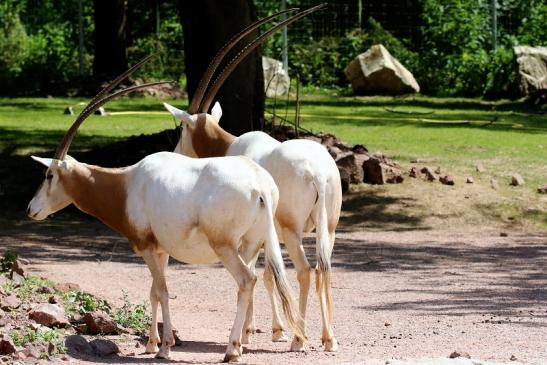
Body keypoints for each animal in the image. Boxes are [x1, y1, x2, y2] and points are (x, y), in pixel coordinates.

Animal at [26, 57, 304, 362]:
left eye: (49, 175)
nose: (31, 209)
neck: (125, 185)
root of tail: (261, 185)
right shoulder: (161, 251)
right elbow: (152, 292)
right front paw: (151, 343)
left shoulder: (147, 247)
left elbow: (162, 291)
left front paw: (165, 348)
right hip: (251, 244)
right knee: (251, 280)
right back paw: (242, 342)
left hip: (225, 246)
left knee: (246, 279)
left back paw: (232, 349)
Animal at [164, 4, 342, 352]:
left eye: (182, 128)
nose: (176, 151)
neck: (230, 145)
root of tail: (318, 172)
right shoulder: (262, 233)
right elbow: (269, 275)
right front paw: (274, 330)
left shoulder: (258, 232)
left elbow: (259, 273)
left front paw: (253, 332)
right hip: (329, 226)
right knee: (323, 269)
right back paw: (328, 338)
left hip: (292, 229)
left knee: (305, 270)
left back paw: (300, 339)